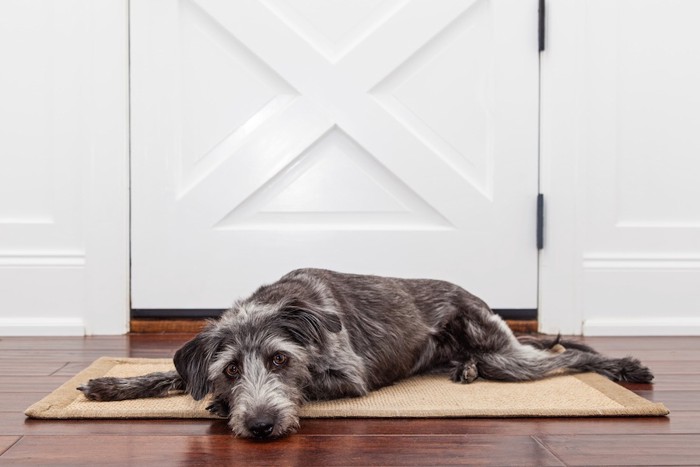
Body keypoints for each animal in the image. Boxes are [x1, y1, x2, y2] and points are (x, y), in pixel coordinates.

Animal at [79, 268, 652, 440]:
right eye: (231, 368)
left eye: (280, 361)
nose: (261, 426)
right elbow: (169, 374)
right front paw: (110, 386)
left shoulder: (349, 378)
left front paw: (222, 408)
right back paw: (462, 369)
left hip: (504, 356)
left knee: (566, 357)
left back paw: (622, 366)